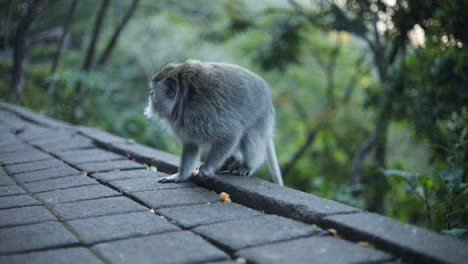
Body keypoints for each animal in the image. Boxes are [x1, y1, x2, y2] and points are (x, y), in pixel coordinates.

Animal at [143, 58, 284, 185]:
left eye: (153, 92)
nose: (150, 94)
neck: (182, 100)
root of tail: (269, 98)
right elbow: (191, 145)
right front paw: (180, 175)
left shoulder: (200, 113)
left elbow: (230, 135)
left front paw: (207, 168)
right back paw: (235, 160)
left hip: (262, 117)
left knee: (251, 135)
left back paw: (248, 165)